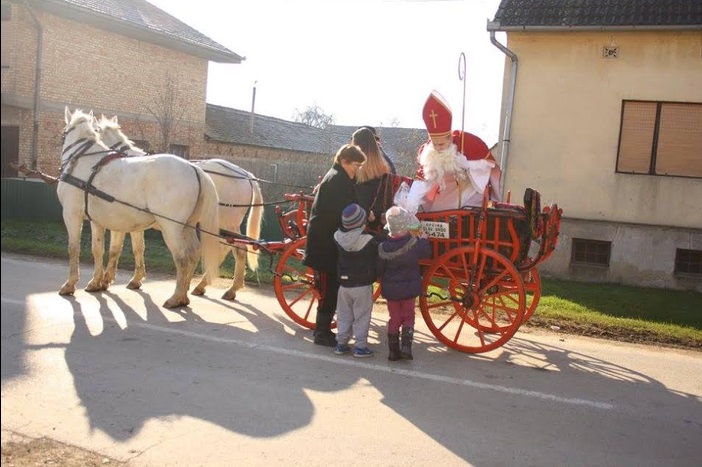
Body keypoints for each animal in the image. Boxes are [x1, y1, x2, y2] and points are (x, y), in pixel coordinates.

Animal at [58, 108, 220, 308]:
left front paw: (70, 284)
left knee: (182, 257)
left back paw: (176, 297)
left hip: (171, 228)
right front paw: (97, 282)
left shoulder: (72, 215)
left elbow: (74, 248)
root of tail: (194, 169)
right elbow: (100, 249)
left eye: (63, 134)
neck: (83, 161)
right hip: (187, 227)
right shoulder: (99, 221)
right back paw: (184, 295)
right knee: (193, 253)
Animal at [96, 115, 264, 302]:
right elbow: (138, 248)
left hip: (227, 223)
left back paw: (228, 288)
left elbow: (115, 249)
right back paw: (203, 285)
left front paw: (107, 279)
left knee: (237, 249)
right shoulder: (134, 224)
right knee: (227, 248)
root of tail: (245, 175)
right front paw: (136, 279)